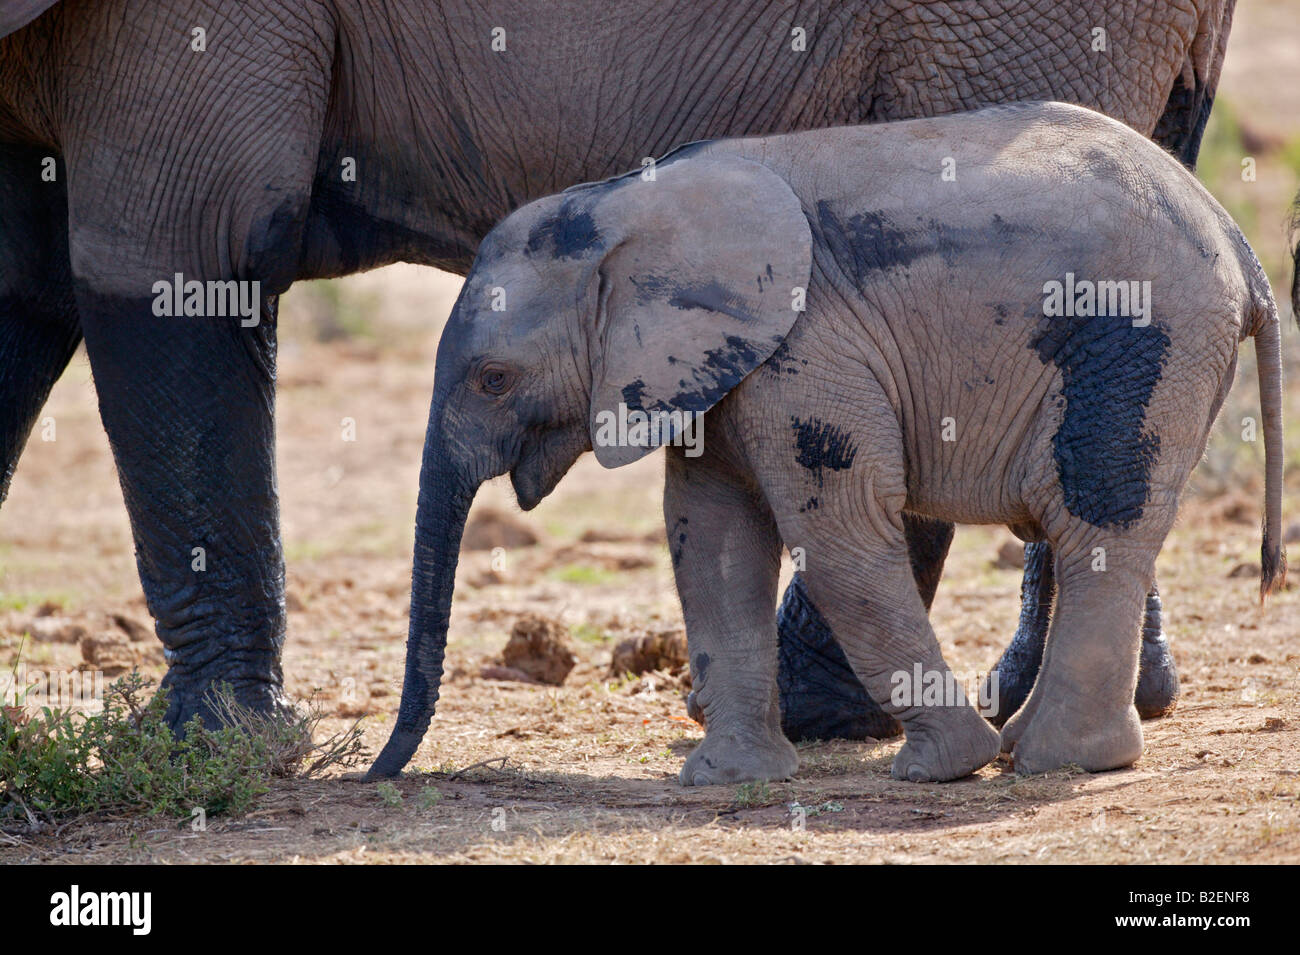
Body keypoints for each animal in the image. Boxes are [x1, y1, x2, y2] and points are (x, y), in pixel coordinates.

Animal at [0, 3, 1232, 743]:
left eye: (498, 382)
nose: (382, 764)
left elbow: (178, 265)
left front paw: (218, 745)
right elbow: (25, 288)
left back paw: (816, 714)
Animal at [366, 98, 1279, 784]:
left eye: (493, 378)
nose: (379, 772)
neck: (620, 203)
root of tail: (1238, 242)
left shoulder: (805, 345)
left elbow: (836, 532)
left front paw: (944, 767)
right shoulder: (725, 367)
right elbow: (713, 537)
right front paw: (728, 779)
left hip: (1139, 336)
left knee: (1095, 518)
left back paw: (1056, 760)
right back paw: (1041, 749)